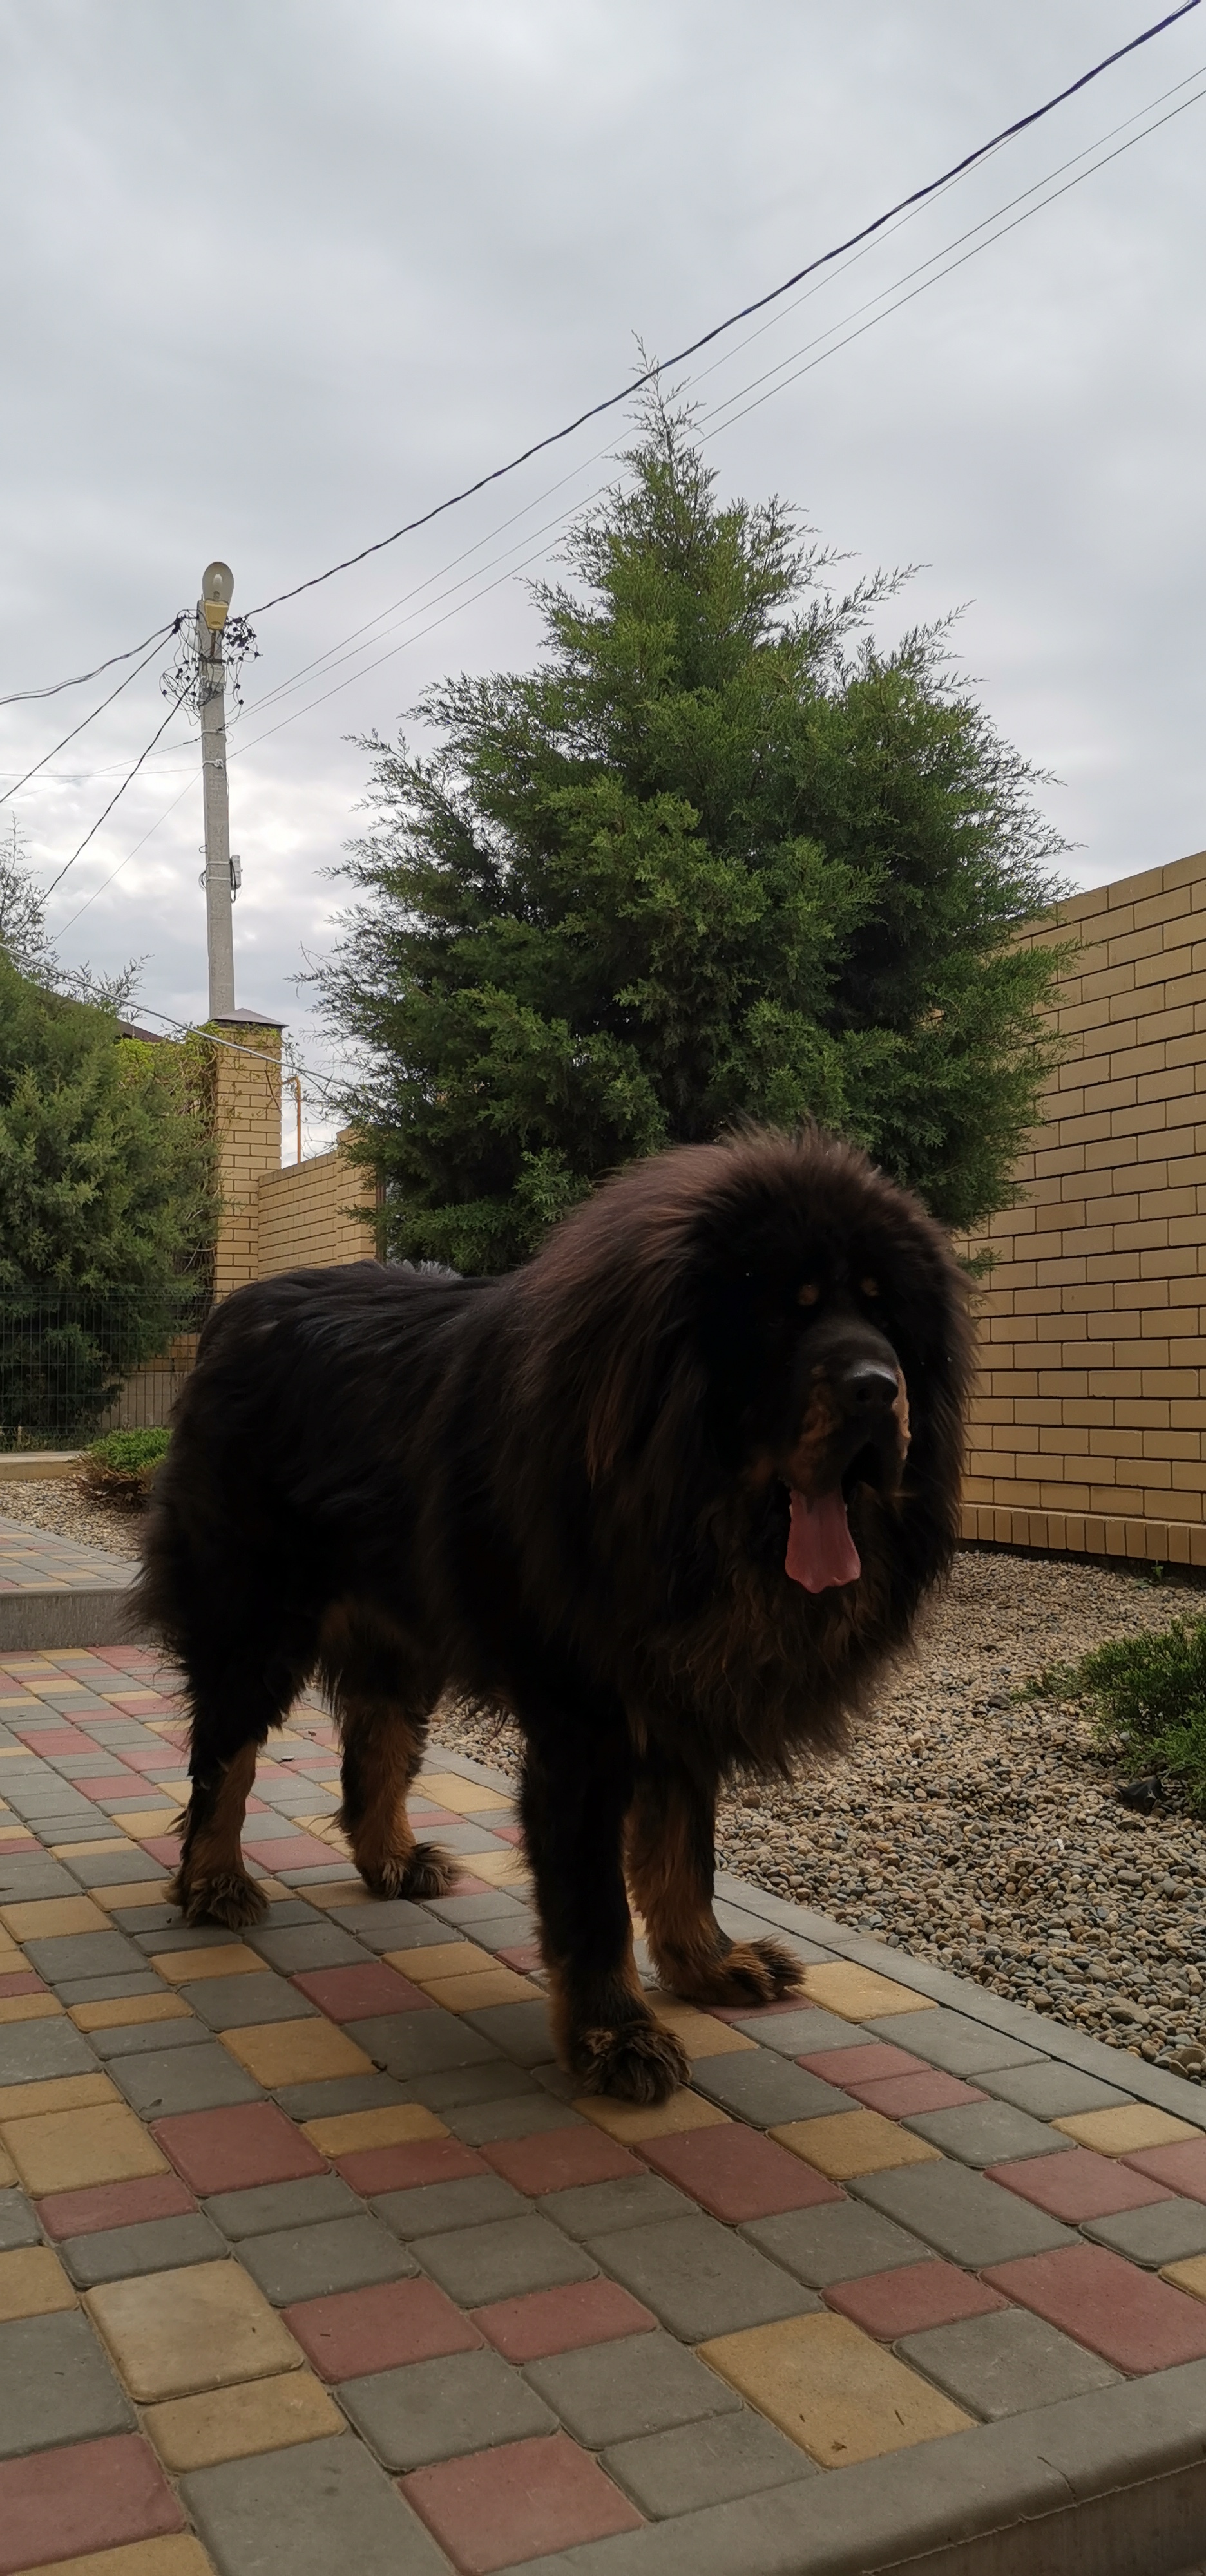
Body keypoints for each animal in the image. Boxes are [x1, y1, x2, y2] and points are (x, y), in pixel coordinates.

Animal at [137, 1128, 974, 2092]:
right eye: (789, 1313)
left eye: (886, 1317)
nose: (879, 1387)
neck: (678, 1501)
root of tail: (237, 1313)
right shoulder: (587, 1719)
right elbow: (595, 1896)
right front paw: (617, 2033)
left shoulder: (680, 1685)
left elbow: (685, 1850)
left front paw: (705, 1962)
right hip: (254, 1615)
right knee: (224, 1754)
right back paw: (212, 1882)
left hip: (402, 1620)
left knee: (376, 1739)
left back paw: (390, 1858)